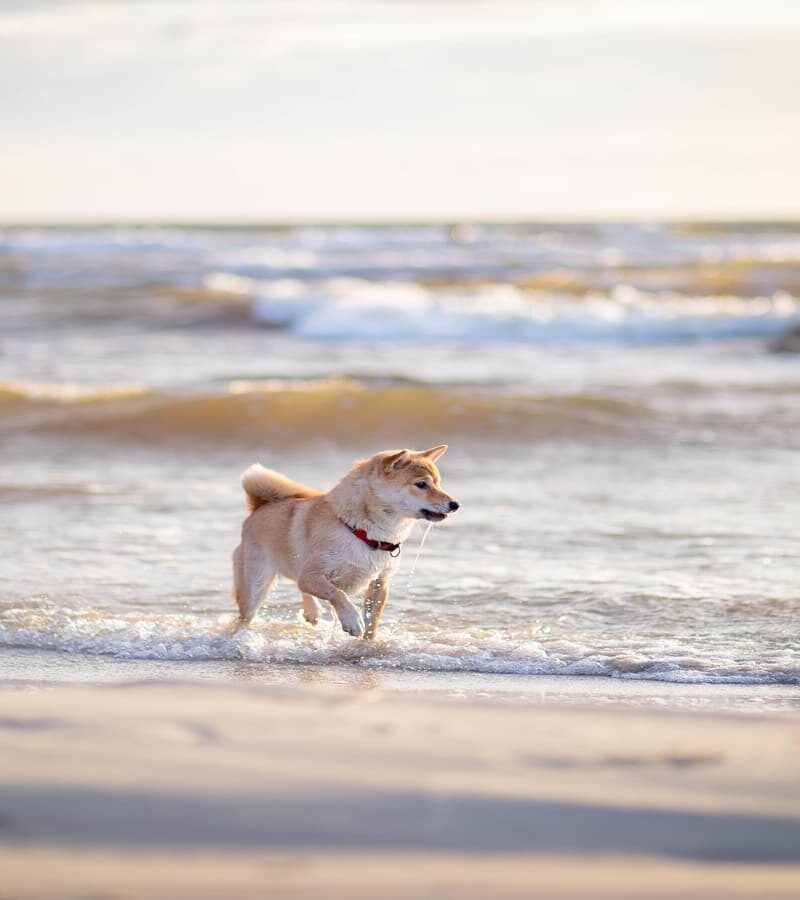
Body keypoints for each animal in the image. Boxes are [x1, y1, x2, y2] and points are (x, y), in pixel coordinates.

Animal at [231, 446, 460, 636]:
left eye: (438, 483)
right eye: (421, 484)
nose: (455, 504)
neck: (363, 532)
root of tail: (259, 507)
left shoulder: (379, 583)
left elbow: (372, 622)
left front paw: (368, 646)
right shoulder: (313, 576)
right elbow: (338, 593)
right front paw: (352, 621)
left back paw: (312, 612)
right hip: (254, 587)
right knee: (246, 615)